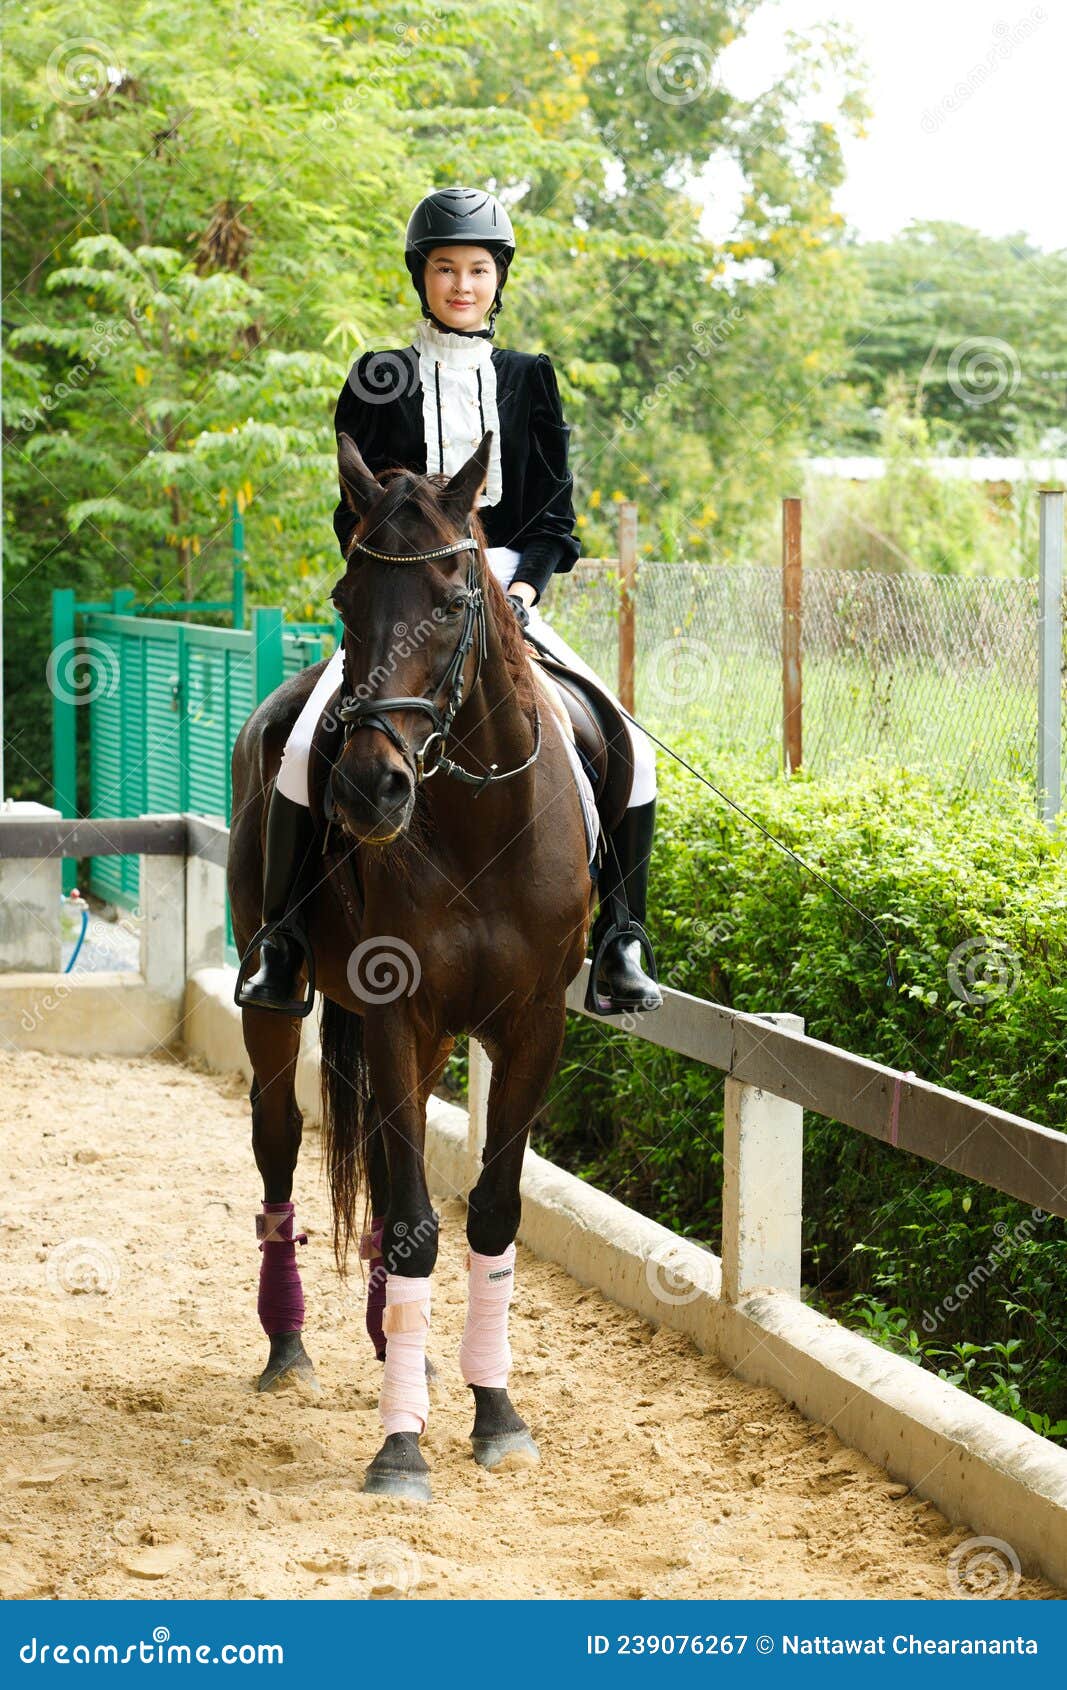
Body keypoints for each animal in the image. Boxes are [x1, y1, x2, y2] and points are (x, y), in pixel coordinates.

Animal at [228, 429, 591, 1500]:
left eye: (451, 599)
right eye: (346, 596)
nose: (366, 790)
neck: (476, 819)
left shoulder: (532, 1025)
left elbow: (488, 1214)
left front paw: (493, 1412)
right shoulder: (397, 1014)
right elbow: (413, 1220)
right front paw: (400, 1446)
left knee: (393, 1179)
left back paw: (402, 1345)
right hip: (275, 1002)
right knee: (279, 1141)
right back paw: (292, 1347)